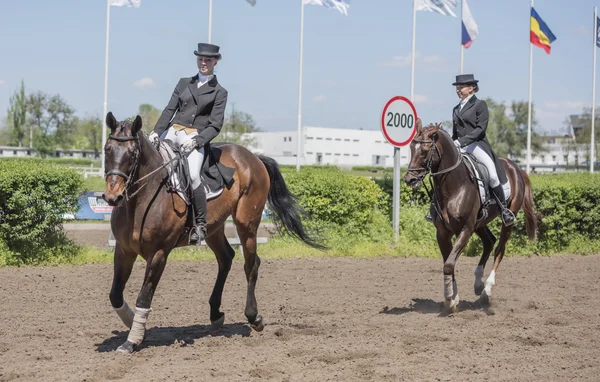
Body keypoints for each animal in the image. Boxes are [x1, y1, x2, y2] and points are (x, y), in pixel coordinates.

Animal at [102, 112, 324, 354]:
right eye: (107, 149)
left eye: (133, 153)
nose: (112, 197)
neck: (142, 199)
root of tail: (253, 157)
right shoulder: (123, 250)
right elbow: (115, 295)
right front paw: (131, 324)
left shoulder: (159, 254)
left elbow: (143, 297)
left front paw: (132, 340)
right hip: (213, 227)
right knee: (226, 257)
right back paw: (216, 314)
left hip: (246, 224)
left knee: (251, 265)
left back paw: (254, 317)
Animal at [404, 120, 540, 314]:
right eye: (411, 148)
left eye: (424, 150)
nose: (409, 179)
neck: (453, 187)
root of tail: (516, 168)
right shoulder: (442, 233)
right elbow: (448, 264)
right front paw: (454, 298)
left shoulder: (465, 230)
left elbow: (449, 264)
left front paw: (450, 301)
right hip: (480, 222)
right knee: (489, 241)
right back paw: (478, 283)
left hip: (507, 221)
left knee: (499, 249)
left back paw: (486, 290)